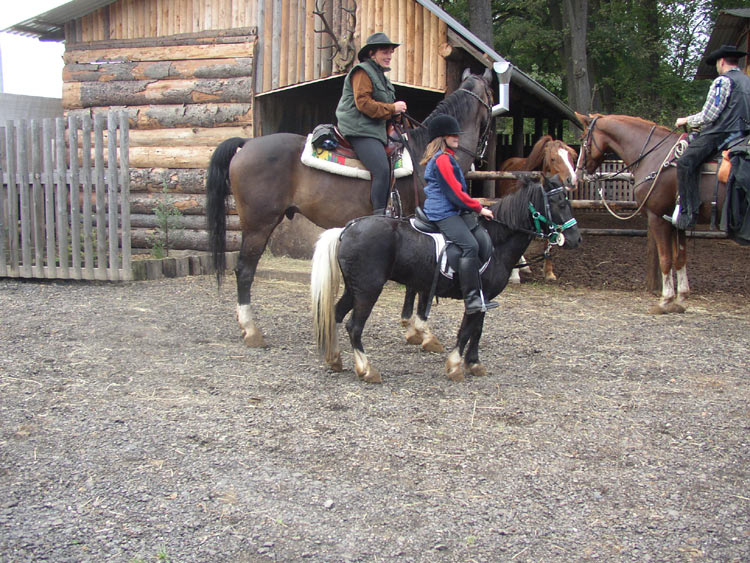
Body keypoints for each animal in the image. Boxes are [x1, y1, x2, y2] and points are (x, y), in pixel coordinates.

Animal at [312, 177, 580, 384]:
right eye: (559, 203)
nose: (575, 239)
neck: (496, 241)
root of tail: (347, 228)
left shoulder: (484, 298)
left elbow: (477, 330)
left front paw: (474, 363)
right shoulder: (476, 298)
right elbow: (466, 330)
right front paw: (455, 366)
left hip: (354, 289)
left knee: (335, 315)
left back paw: (335, 359)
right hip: (368, 290)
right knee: (354, 327)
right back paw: (367, 370)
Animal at [576, 112, 728, 316]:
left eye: (584, 137)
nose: (578, 172)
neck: (656, 155)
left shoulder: (658, 217)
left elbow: (665, 259)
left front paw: (665, 300)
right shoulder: (677, 222)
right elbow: (680, 258)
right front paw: (681, 299)